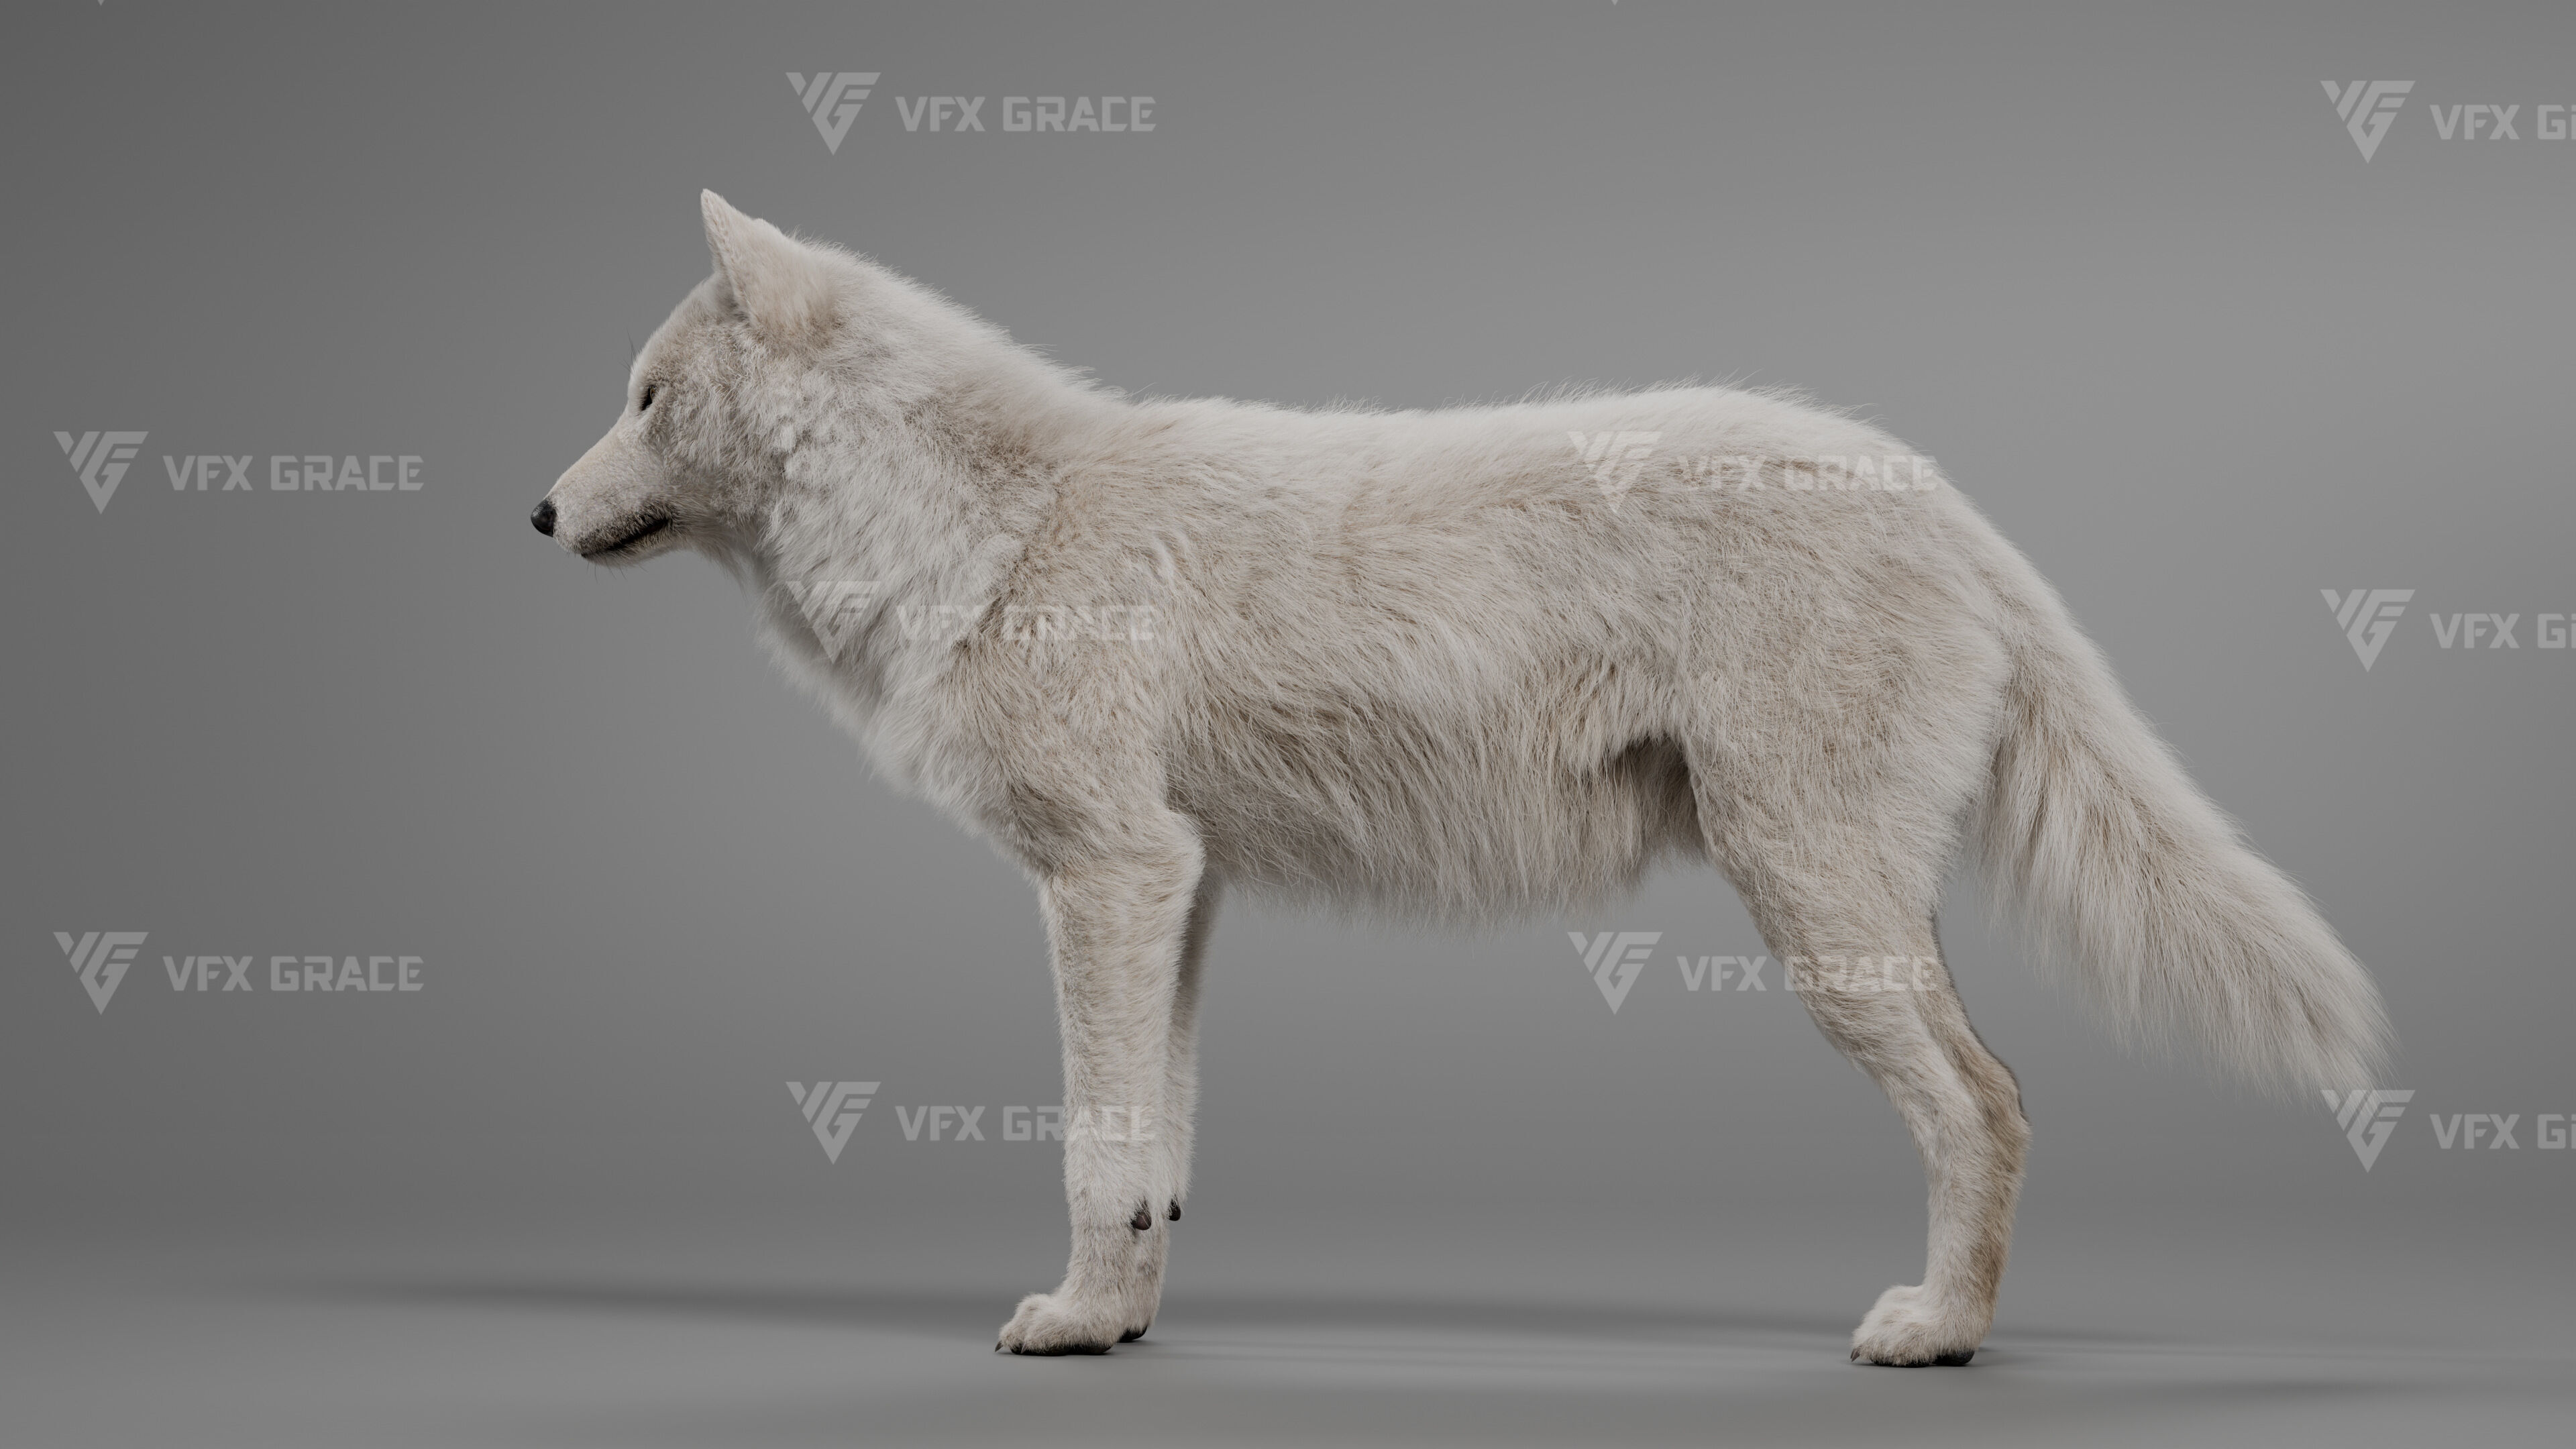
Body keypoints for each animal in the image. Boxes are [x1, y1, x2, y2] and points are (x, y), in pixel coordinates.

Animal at [536, 192, 2390, 1364]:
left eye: (644, 397)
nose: (537, 513)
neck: (987, 536)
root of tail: (1942, 495)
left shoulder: (1105, 878)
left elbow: (1087, 1139)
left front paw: (1060, 1323)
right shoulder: (1177, 889)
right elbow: (1157, 1156)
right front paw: (1120, 1319)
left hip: (1814, 909)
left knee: (1986, 1100)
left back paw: (1933, 1337)